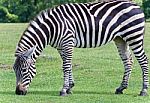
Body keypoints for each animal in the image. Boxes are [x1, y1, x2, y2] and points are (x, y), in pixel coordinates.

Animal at [12, 0, 149, 96]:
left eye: (24, 70)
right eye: (14, 70)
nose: (18, 92)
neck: (51, 28)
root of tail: (136, 5)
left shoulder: (67, 42)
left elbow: (66, 66)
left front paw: (64, 90)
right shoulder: (61, 46)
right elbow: (67, 64)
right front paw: (69, 87)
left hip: (134, 36)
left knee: (143, 61)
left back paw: (143, 90)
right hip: (120, 38)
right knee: (128, 61)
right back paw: (121, 88)